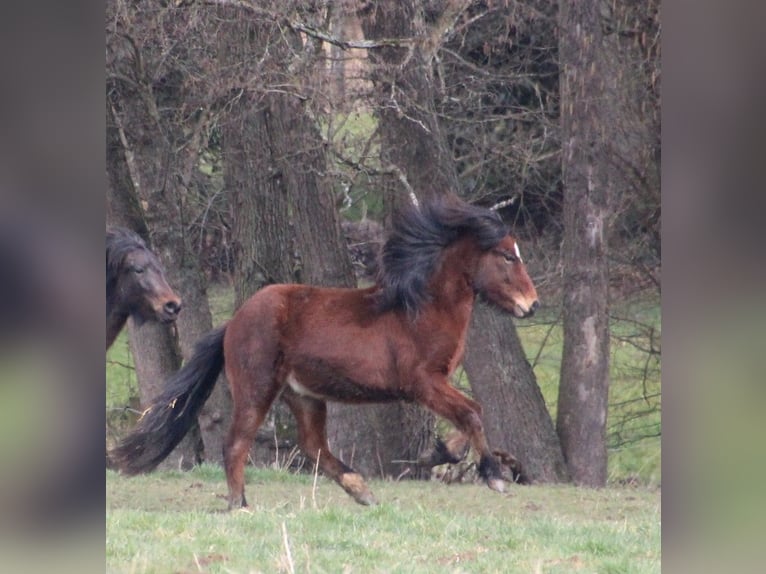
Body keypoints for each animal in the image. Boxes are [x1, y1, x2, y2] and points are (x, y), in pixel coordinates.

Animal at [109, 195, 539, 508]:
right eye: (507, 256)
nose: (531, 305)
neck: (419, 310)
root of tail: (233, 322)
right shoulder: (423, 384)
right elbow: (473, 412)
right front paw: (493, 477)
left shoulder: (436, 385)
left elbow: (471, 416)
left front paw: (438, 453)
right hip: (258, 390)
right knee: (236, 444)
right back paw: (239, 504)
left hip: (304, 396)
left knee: (313, 447)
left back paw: (361, 491)